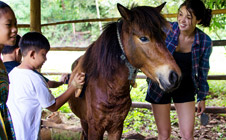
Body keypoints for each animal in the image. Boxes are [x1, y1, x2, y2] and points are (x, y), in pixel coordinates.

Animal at [68, 2, 181, 139]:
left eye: (164, 36)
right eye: (143, 38)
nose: (175, 76)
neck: (109, 88)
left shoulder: (117, 127)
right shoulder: (95, 129)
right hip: (84, 122)